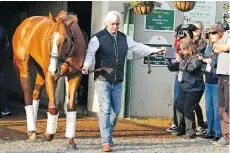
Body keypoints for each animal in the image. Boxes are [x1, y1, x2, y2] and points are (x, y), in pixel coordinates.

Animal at [12, 10, 86, 149]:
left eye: (66, 39)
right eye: (50, 38)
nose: (53, 69)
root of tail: (24, 24)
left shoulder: (75, 76)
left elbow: (71, 107)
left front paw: (71, 140)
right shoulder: (51, 77)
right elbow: (53, 108)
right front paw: (49, 134)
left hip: (41, 72)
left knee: (35, 95)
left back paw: (33, 129)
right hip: (25, 67)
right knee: (28, 98)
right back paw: (32, 131)